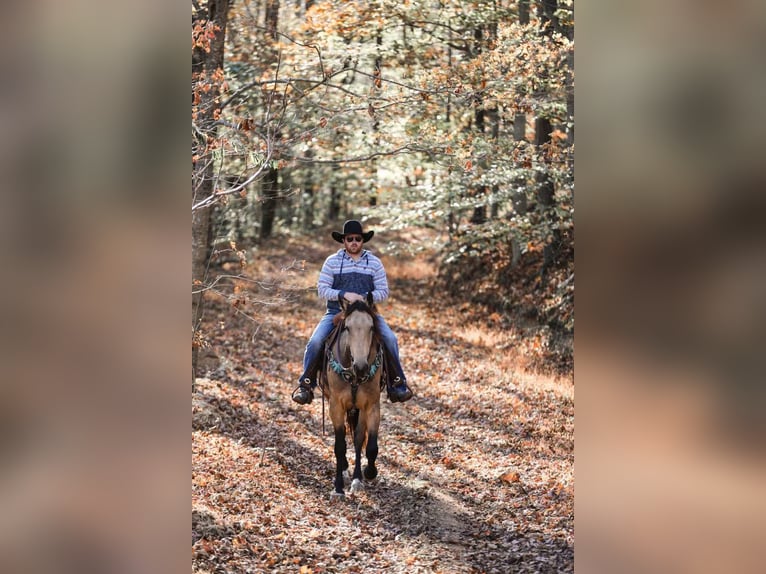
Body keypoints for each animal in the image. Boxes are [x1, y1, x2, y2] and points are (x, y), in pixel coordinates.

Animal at [320, 296, 388, 500]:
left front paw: (367, 474)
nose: (361, 367)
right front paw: (338, 488)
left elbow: (369, 444)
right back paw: (343, 469)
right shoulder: (336, 405)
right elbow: (339, 445)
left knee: (358, 438)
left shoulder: (371, 405)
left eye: (371, 327)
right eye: (347, 327)